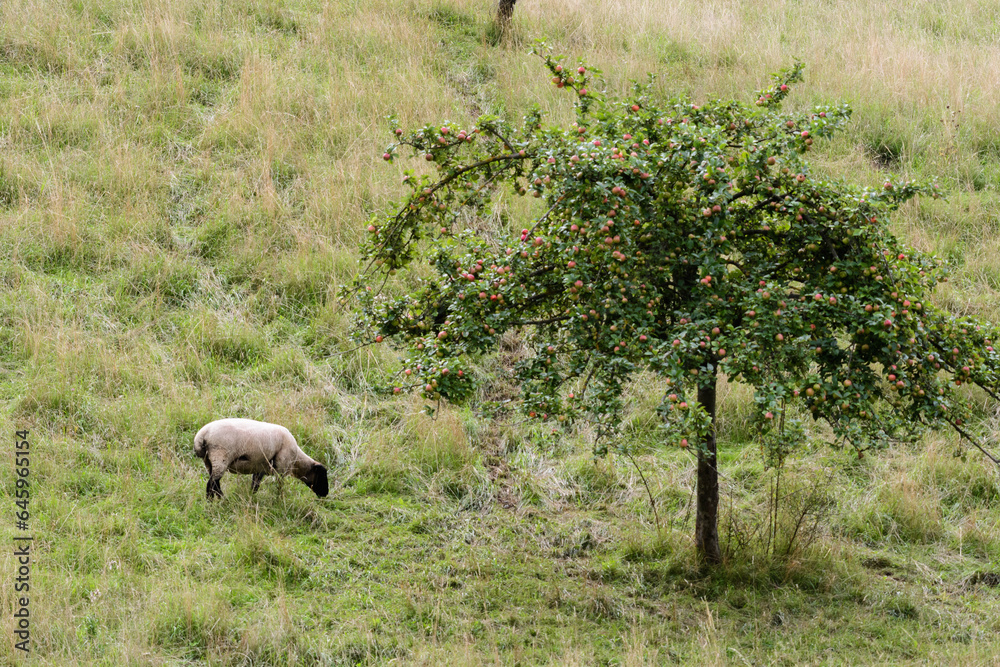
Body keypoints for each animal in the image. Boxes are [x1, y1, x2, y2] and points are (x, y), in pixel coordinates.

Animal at [194, 418, 328, 500]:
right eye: (322, 475)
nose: (325, 493)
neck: (296, 461)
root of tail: (201, 436)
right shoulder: (281, 468)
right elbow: (280, 486)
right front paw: (279, 499)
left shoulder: (261, 467)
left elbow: (255, 485)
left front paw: (251, 497)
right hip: (220, 456)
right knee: (211, 484)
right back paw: (212, 503)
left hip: (209, 461)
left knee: (215, 484)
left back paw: (221, 499)